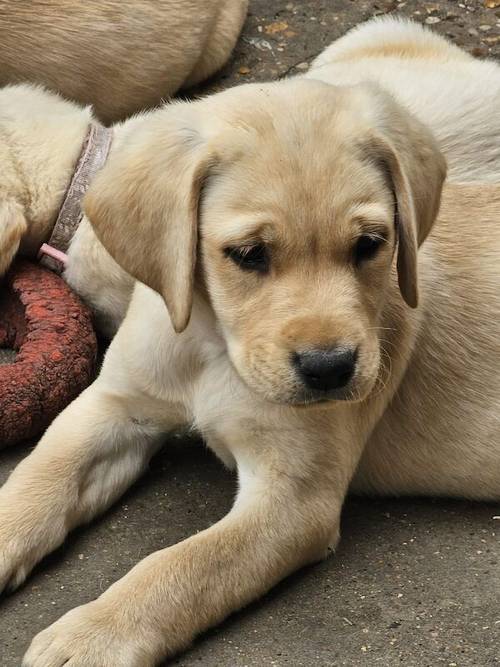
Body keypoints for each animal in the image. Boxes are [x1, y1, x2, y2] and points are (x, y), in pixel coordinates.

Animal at [0, 74, 498, 667]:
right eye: (248, 253)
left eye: (370, 245)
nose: (329, 370)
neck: (213, 348)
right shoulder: (114, 406)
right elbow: (40, 476)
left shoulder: (293, 500)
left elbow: (181, 565)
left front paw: (93, 635)